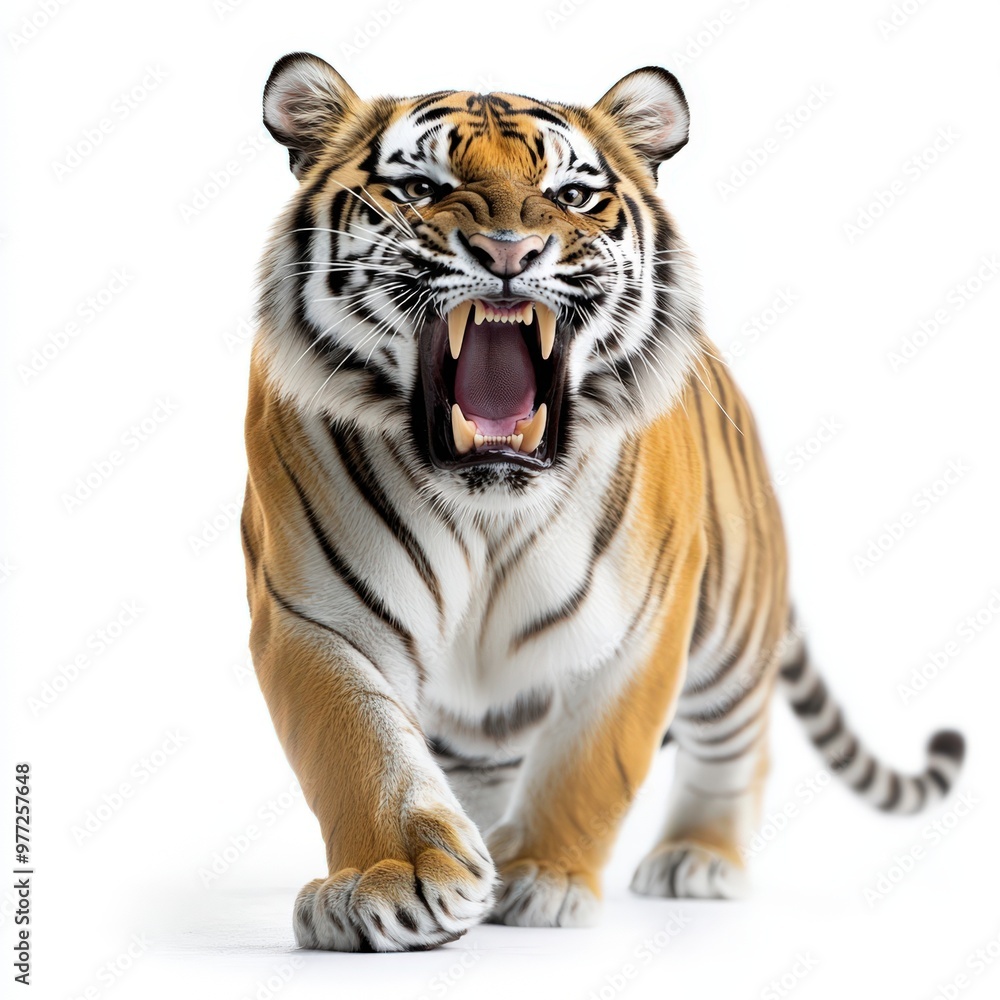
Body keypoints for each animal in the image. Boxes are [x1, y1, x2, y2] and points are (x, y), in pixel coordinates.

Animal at [240, 52, 966, 952]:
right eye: (420, 187)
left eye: (572, 195)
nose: (509, 252)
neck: (487, 508)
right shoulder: (315, 616)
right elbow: (360, 749)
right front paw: (395, 877)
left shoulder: (641, 626)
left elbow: (591, 762)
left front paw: (545, 876)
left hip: (733, 629)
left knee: (740, 745)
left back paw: (698, 858)